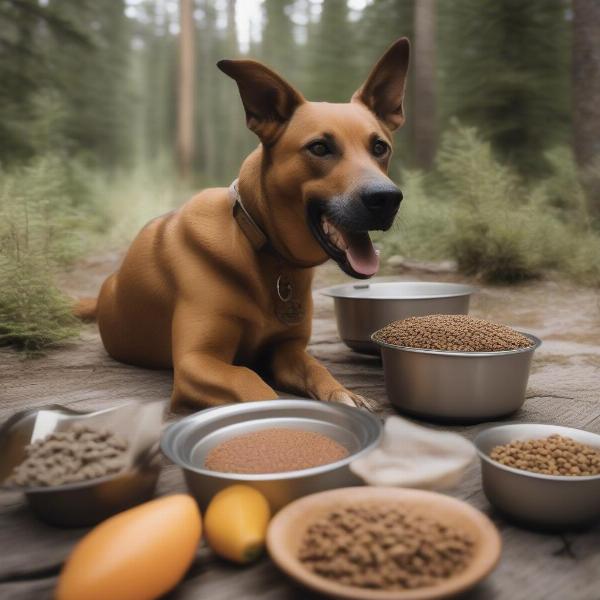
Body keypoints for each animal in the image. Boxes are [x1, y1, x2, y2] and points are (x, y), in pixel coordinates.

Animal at [76, 38, 408, 412]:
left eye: (379, 147)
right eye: (320, 148)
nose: (387, 198)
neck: (264, 251)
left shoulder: (286, 350)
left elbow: (317, 368)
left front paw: (344, 393)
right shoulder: (196, 360)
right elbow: (248, 380)